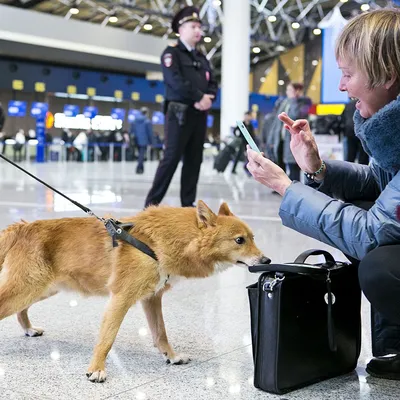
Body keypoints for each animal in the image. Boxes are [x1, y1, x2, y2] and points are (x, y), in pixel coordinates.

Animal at [0, 202, 268, 382]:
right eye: (239, 240)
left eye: (253, 237)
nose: (266, 260)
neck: (157, 242)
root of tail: (21, 227)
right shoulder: (120, 299)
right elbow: (107, 338)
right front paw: (96, 368)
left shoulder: (152, 299)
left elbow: (161, 334)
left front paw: (172, 356)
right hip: (28, 288)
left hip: (43, 289)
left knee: (22, 311)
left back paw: (28, 329)